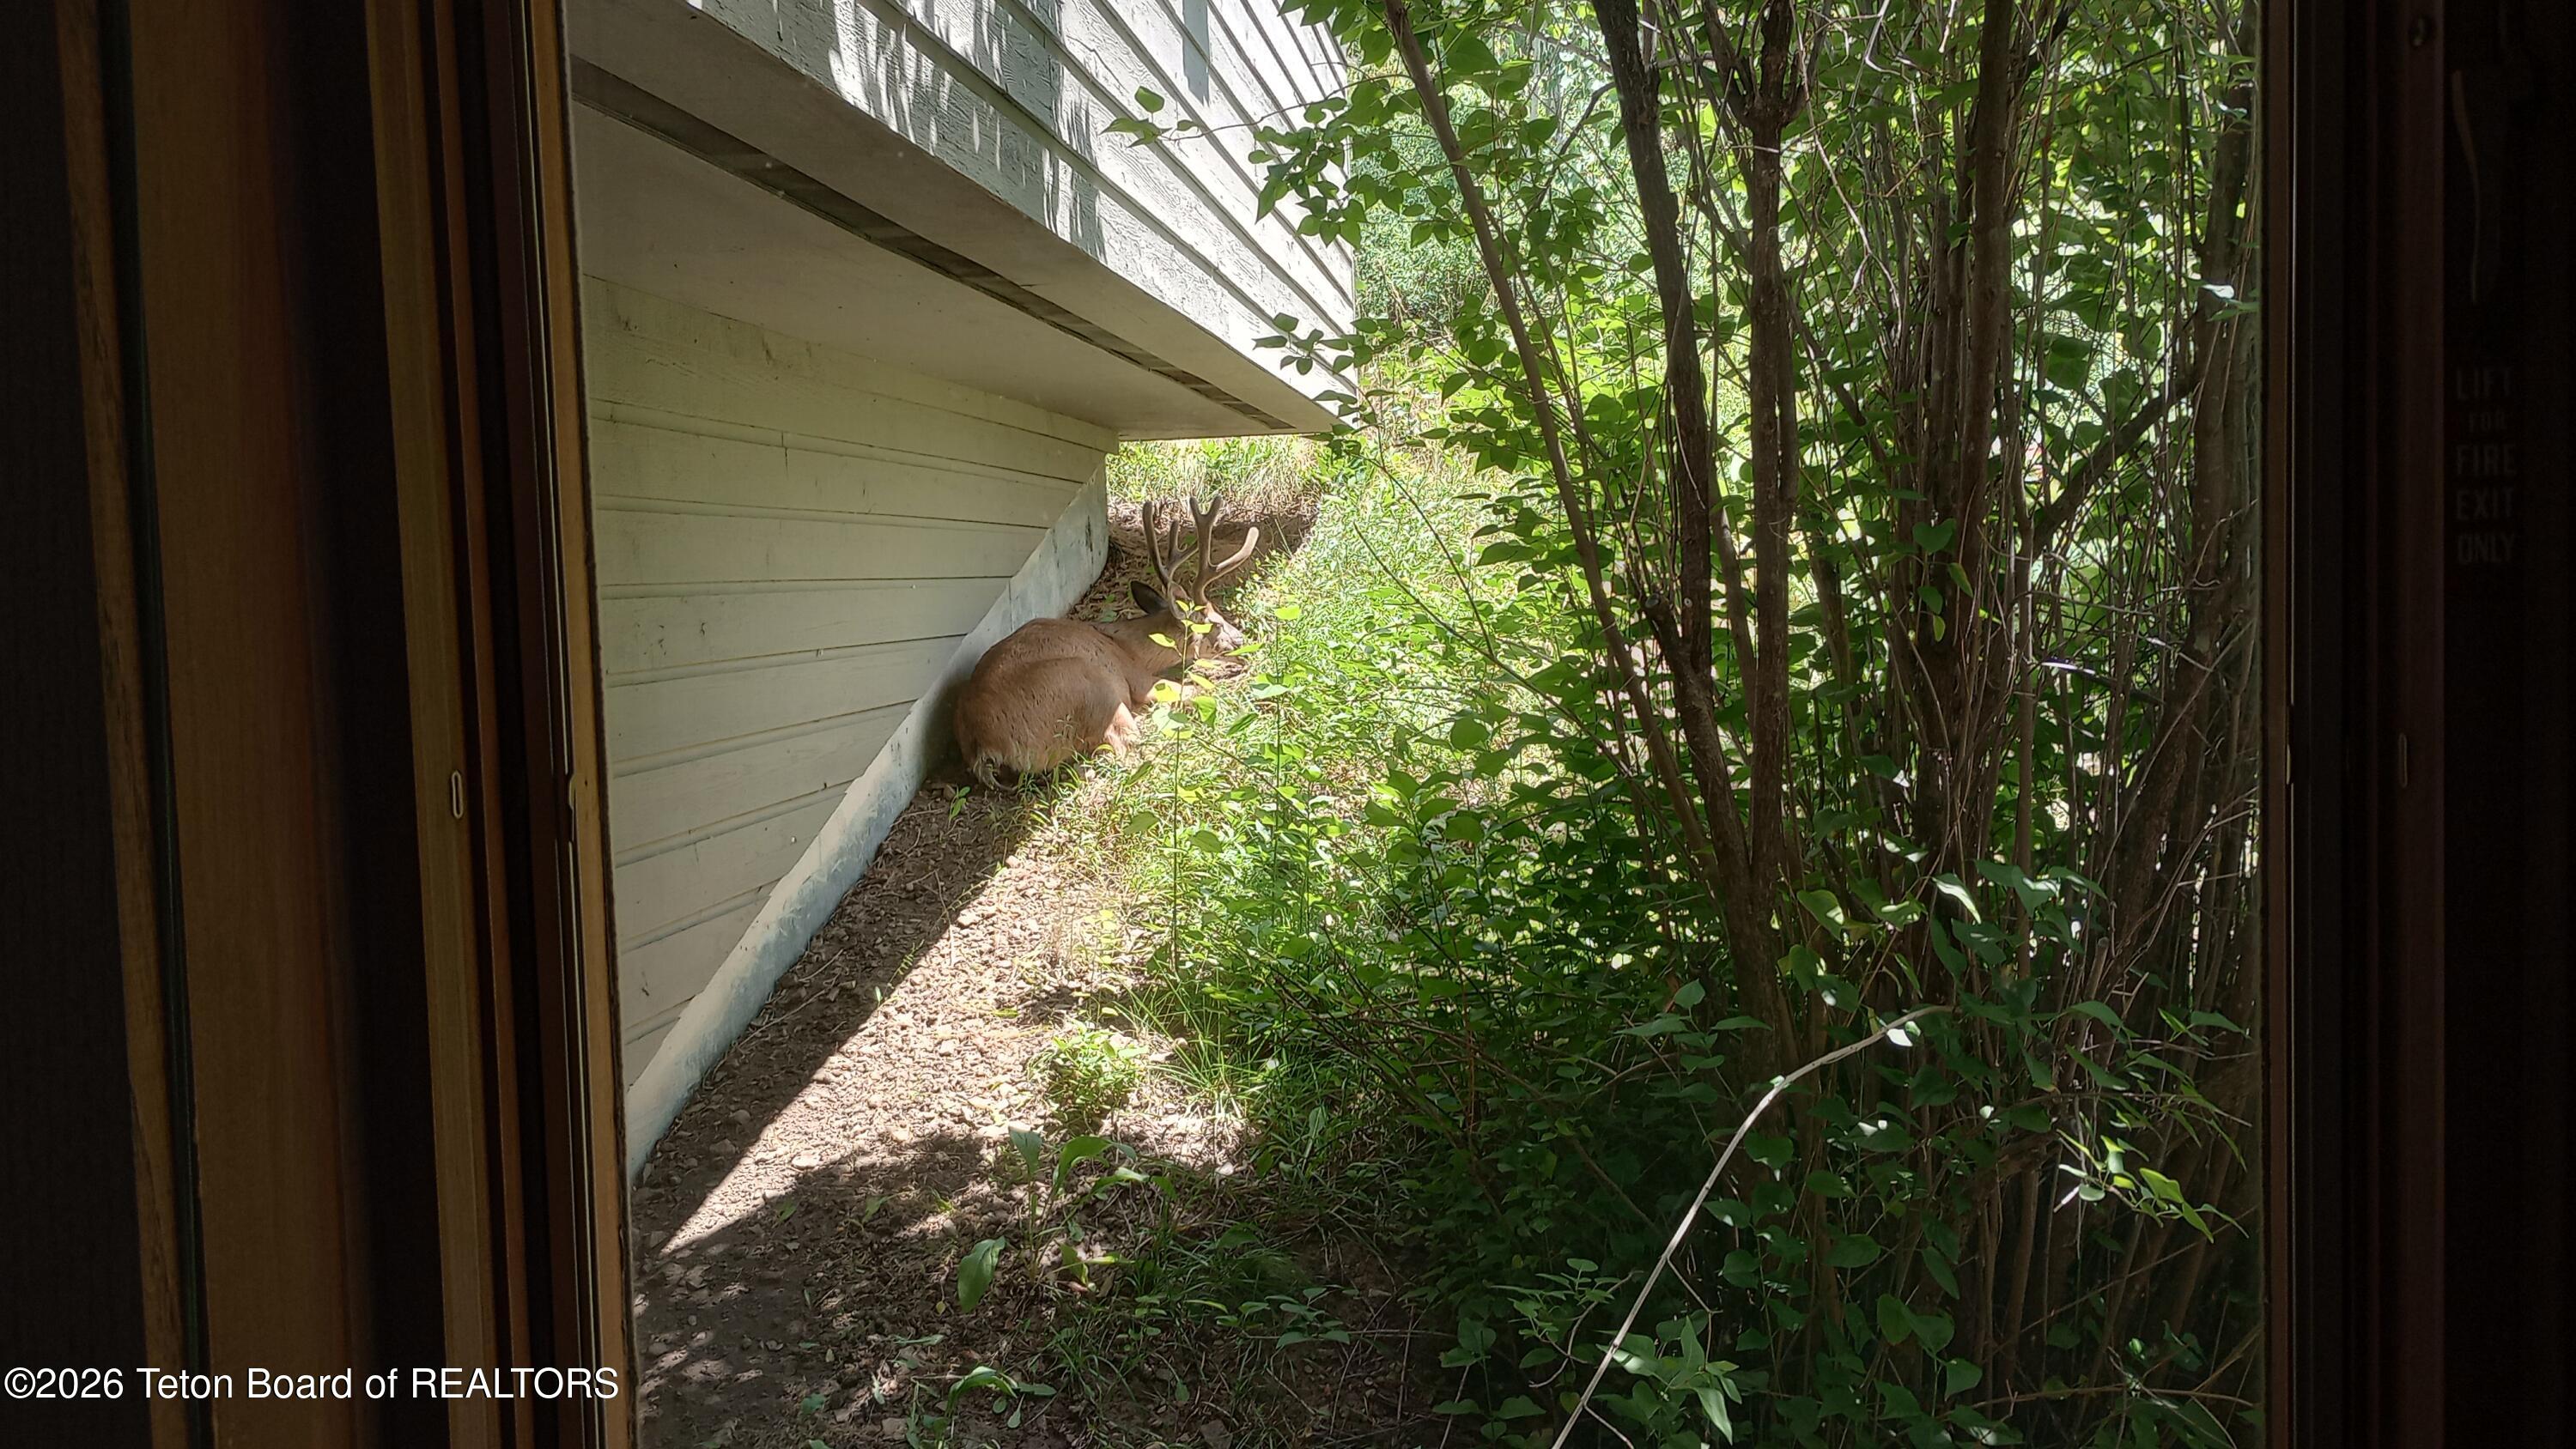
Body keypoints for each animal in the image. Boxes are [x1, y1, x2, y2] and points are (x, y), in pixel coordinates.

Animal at [952, 497, 1260, 786]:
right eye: (1215, 623)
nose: (1241, 638)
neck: (1128, 646)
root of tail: (982, 746)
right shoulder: (1136, 679)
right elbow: (1192, 687)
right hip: (1091, 688)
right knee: (1128, 750)